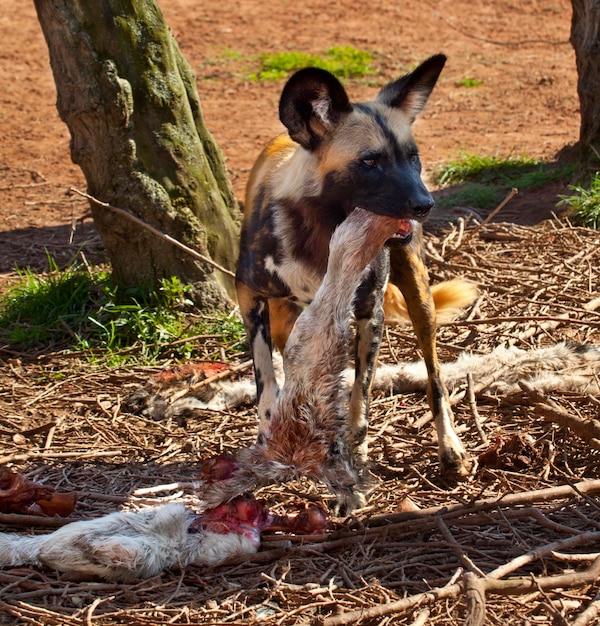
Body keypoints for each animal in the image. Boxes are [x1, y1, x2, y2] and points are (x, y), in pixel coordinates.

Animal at [234, 54, 474, 512]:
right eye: (370, 162)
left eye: (413, 158)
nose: (425, 204)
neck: (322, 231)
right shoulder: (249, 297)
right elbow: (266, 381)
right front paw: (271, 433)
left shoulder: (367, 314)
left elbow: (358, 402)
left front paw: (351, 461)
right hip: (286, 319)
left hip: (419, 299)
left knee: (434, 376)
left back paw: (450, 447)